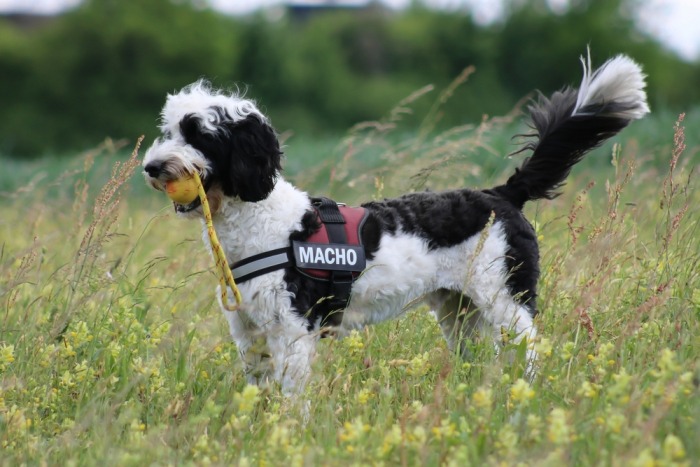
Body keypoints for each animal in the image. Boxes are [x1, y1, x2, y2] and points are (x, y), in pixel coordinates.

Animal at [144, 52, 652, 394]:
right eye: (168, 131)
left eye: (200, 134)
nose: (152, 167)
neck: (264, 222)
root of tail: (500, 193)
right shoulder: (249, 332)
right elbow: (259, 391)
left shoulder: (292, 330)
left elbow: (291, 398)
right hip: (460, 314)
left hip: (507, 302)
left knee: (527, 351)